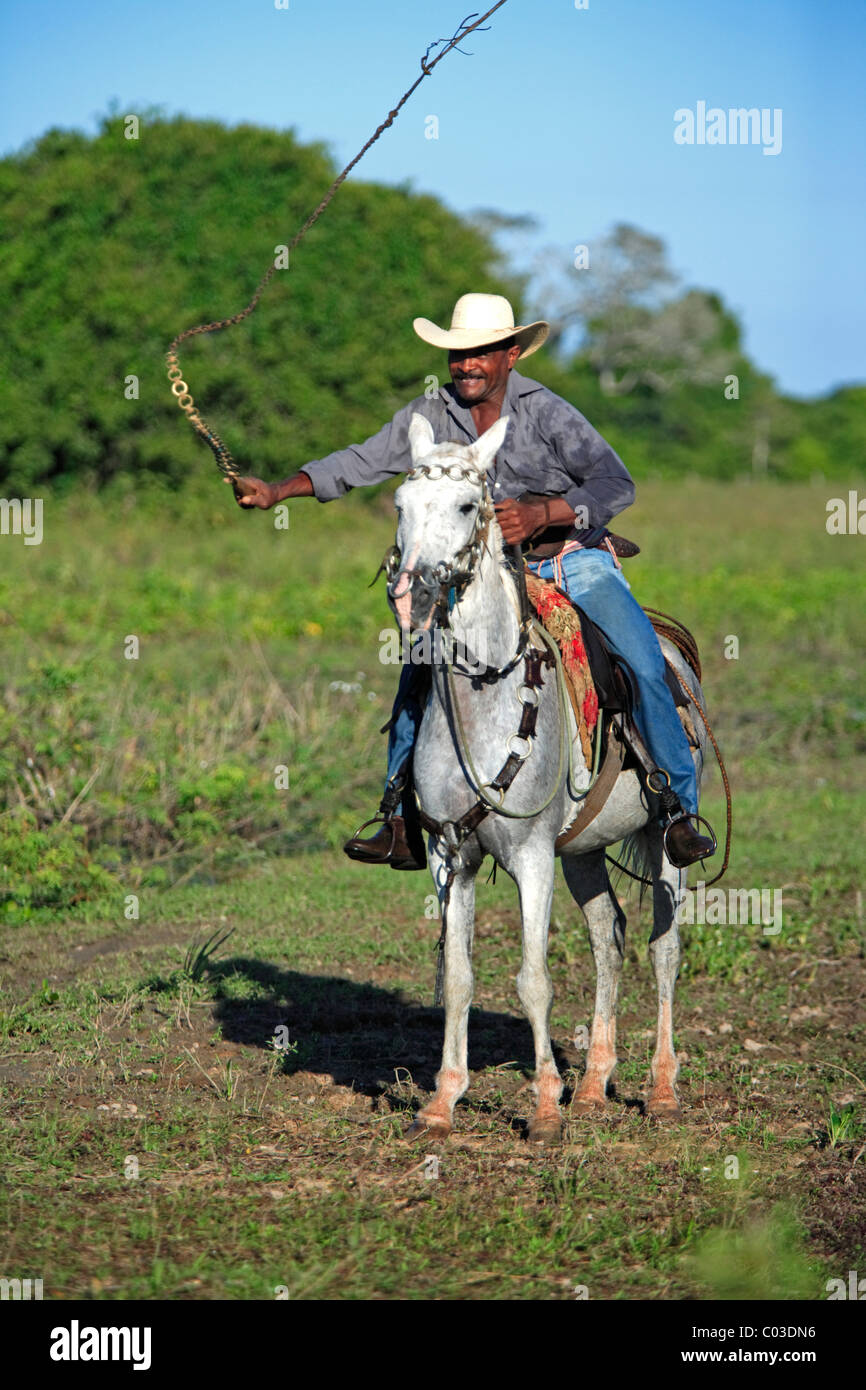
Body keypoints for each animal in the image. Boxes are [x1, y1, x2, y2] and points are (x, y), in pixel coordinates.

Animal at [389, 411, 708, 1139]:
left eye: (468, 505)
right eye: (401, 506)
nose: (414, 596)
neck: (486, 693)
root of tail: (670, 647)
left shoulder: (532, 855)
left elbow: (533, 979)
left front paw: (542, 1110)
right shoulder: (451, 855)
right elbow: (457, 977)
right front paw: (443, 1102)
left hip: (661, 838)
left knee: (664, 948)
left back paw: (661, 1089)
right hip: (583, 849)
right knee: (608, 939)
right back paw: (592, 1087)